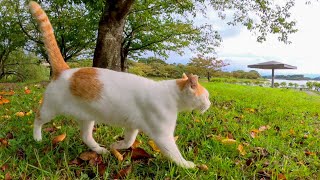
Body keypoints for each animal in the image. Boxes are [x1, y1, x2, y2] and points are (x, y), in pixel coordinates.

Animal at [29, 1, 210, 168]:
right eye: (207, 96)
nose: (209, 104)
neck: (172, 95)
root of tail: (65, 70)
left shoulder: (132, 126)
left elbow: (129, 141)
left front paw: (116, 145)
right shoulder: (162, 135)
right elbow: (174, 153)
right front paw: (187, 165)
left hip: (87, 116)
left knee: (86, 136)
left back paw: (100, 150)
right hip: (50, 109)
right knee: (37, 119)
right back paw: (37, 138)